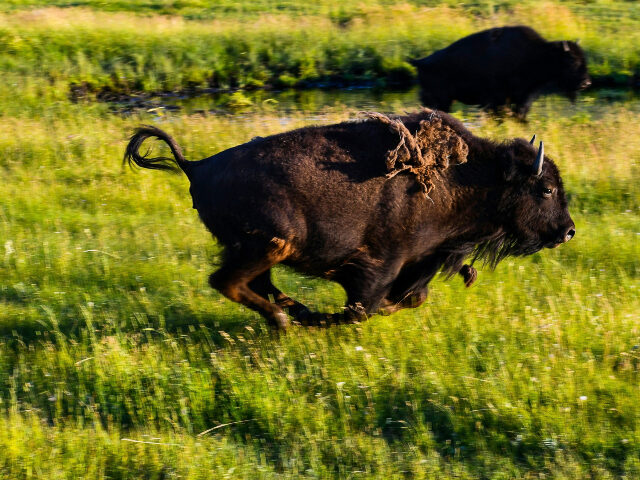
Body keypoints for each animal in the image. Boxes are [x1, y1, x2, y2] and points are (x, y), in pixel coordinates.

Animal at [124, 109, 575, 328]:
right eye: (546, 189)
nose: (568, 231)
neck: (473, 177)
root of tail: (196, 166)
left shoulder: (422, 260)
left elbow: (410, 297)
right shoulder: (383, 263)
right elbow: (364, 307)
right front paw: (333, 319)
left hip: (256, 249)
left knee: (253, 284)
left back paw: (295, 314)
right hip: (272, 244)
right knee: (228, 282)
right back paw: (288, 321)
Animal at [410, 26, 591, 119]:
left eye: (584, 59)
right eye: (572, 60)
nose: (586, 82)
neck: (538, 54)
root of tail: (420, 62)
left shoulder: (523, 99)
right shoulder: (497, 100)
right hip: (440, 100)